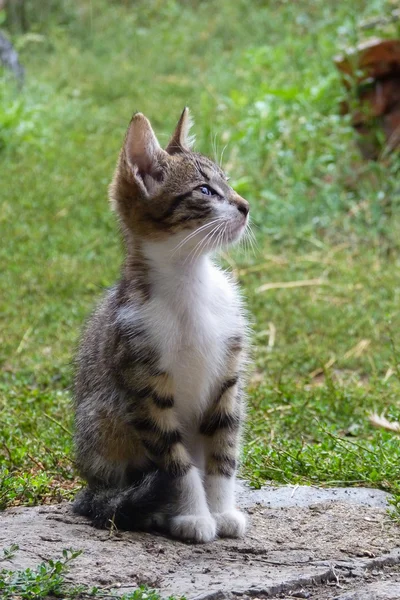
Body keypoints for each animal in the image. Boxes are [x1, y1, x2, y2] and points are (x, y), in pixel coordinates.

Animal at [72, 108, 250, 544]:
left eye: (227, 182)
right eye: (205, 191)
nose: (245, 206)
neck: (190, 287)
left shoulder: (228, 380)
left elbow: (224, 450)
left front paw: (222, 510)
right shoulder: (143, 385)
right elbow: (176, 465)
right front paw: (194, 517)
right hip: (103, 420)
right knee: (114, 491)